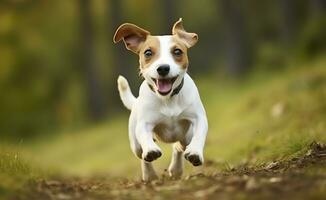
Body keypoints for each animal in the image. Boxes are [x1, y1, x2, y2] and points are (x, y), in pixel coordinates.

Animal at [113, 18, 208, 181]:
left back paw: (176, 169)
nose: (163, 68)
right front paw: (151, 151)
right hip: (135, 144)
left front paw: (195, 152)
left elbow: (200, 133)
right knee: (142, 155)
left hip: (186, 137)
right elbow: (145, 138)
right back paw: (149, 174)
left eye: (177, 51)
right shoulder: (144, 124)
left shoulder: (198, 117)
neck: (168, 99)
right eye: (148, 52)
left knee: (179, 147)